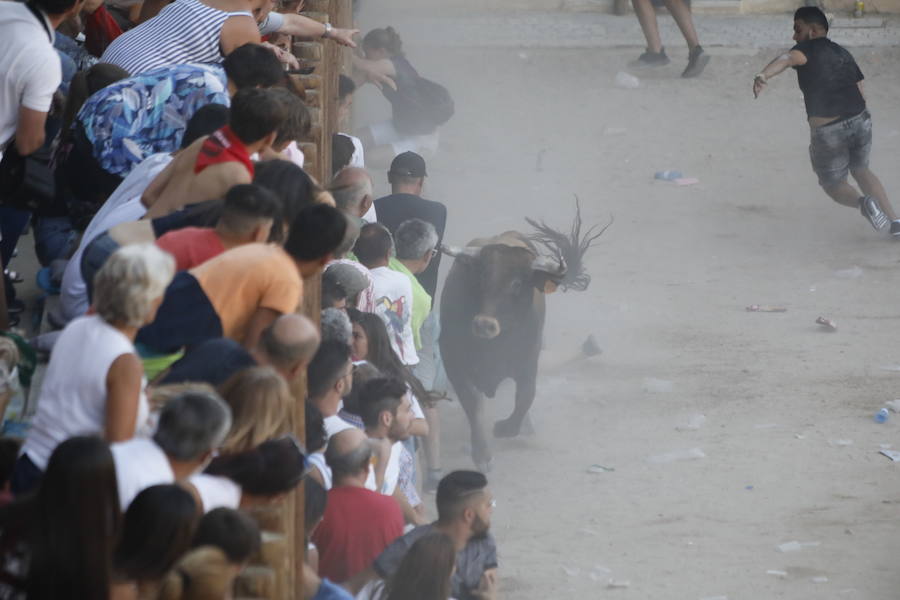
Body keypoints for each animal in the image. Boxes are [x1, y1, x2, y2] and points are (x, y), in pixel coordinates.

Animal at [440, 209, 608, 472]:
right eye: (482, 277)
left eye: (517, 283)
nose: (484, 324)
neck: (493, 345)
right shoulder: (453, 361)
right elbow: (473, 404)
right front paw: (482, 455)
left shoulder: (528, 361)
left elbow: (526, 396)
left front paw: (504, 428)